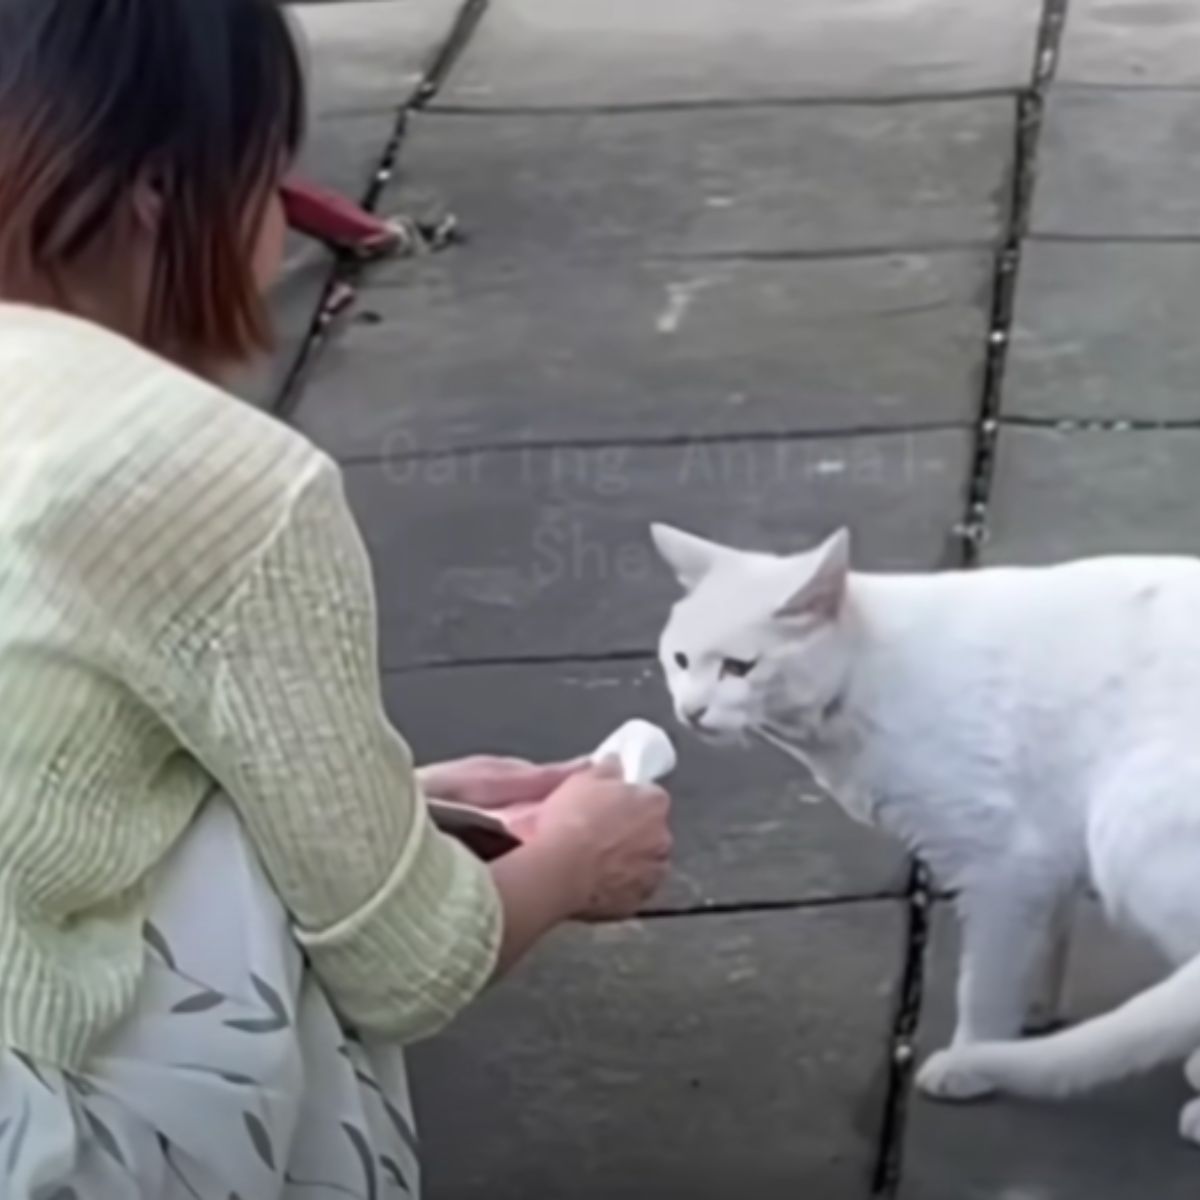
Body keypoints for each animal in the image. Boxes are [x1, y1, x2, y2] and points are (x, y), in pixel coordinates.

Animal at [652, 525, 1200, 1142]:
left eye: (739, 668)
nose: (691, 709)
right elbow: (1041, 947)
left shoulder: (1006, 866)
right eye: (680, 659)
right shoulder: (1048, 856)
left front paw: (973, 1057)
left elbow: (983, 983)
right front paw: (1032, 1014)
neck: (862, 680)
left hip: (1126, 821)